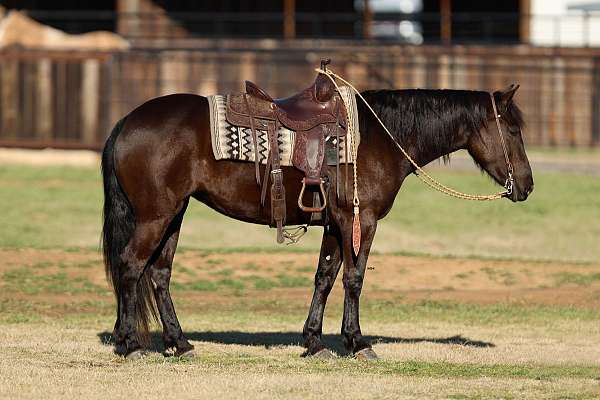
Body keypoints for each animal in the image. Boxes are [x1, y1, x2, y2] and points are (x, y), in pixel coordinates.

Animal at [102, 82, 536, 360]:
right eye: (513, 128)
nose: (528, 185)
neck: (379, 136)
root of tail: (125, 121)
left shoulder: (334, 223)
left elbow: (325, 277)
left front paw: (314, 342)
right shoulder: (360, 221)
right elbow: (354, 279)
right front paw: (357, 342)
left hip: (173, 215)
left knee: (158, 274)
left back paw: (179, 343)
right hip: (155, 216)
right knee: (131, 266)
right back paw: (130, 344)